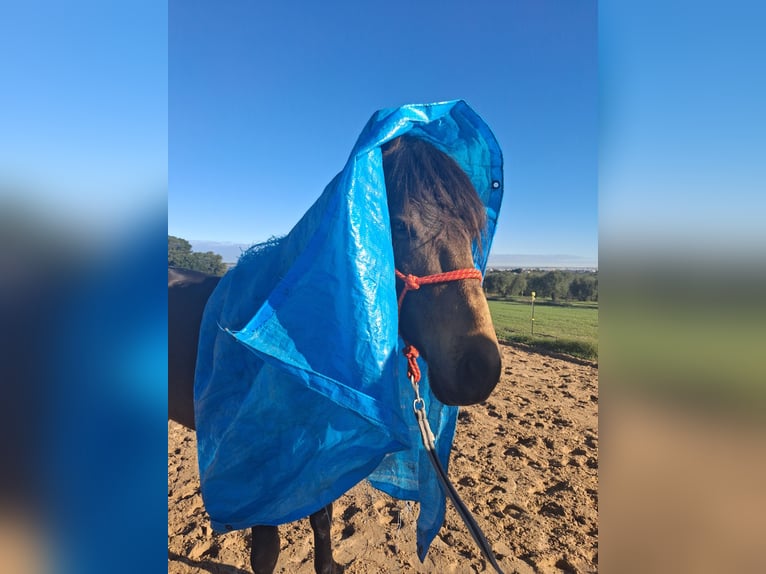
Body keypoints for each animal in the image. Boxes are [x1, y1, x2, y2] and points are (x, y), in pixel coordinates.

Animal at [168, 134, 503, 574]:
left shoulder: (318, 454)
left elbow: (323, 520)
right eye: (398, 225)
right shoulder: (258, 473)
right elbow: (266, 552)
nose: (481, 369)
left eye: (472, 231)